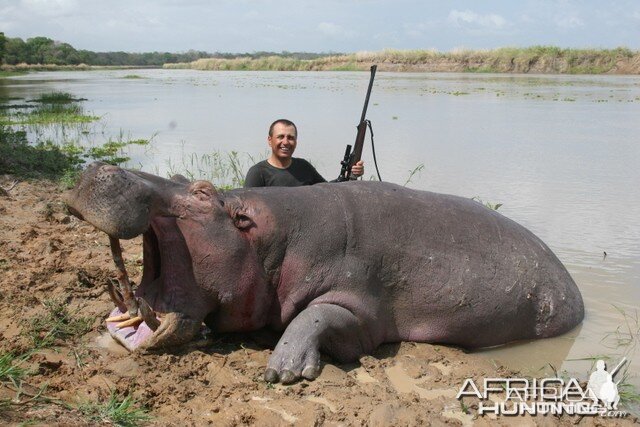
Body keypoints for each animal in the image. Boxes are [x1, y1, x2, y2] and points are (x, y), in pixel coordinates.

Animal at [65, 163, 584, 384]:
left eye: (202, 191)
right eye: (180, 177)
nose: (97, 166)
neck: (270, 236)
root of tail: (575, 290)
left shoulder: (360, 306)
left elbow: (317, 316)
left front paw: (284, 370)